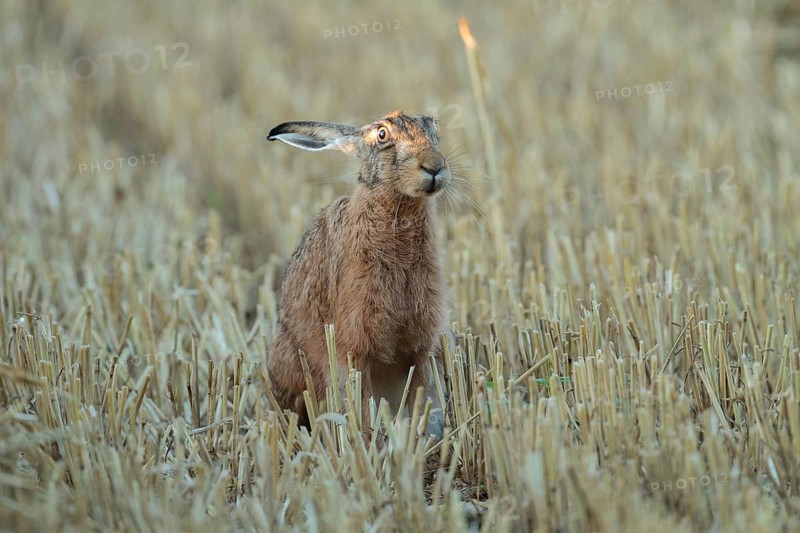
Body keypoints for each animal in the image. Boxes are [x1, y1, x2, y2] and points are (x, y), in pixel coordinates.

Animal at [266, 110, 453, 439]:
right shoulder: (354, 349)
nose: (434, 167)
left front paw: (416, 441)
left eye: (433, 130)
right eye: (382, 135)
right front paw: (368, 442)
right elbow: (363, 407)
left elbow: (418, 399)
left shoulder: (422, 347)